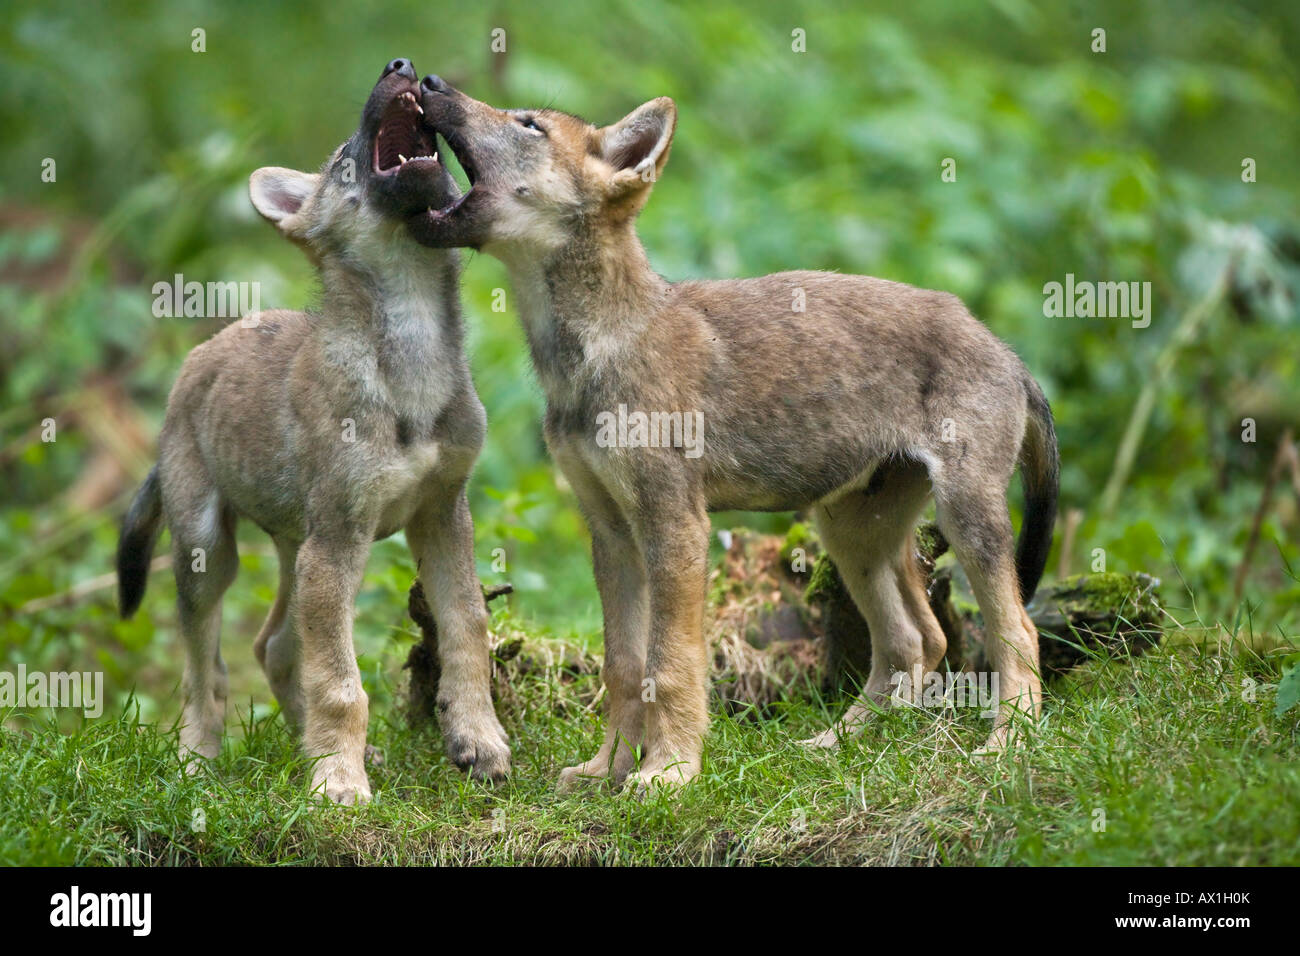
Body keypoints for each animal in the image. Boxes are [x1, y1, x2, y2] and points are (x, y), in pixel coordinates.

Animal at [116, 60, 510, 805]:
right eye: (340, 162)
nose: (400, 65)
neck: (412, 362)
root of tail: (199, 357)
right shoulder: (340, 541)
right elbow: (340, 685)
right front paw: (338, 785)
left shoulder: (442, 515)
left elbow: (467, 631)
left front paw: (478, 742)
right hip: (212, 551)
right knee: (206, 669)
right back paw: (198, 762)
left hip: (298, 552)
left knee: (272, 648)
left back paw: (322, 749)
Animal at [406, 76, 1058, 794]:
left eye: (528, 124)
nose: (430, 82)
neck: (589, 352)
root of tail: (1010, 355)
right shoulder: (611, 533)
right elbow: (623, 669)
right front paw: (607, 771)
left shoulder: (676, 526)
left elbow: (670, 667)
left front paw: (667, 774)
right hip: (852, 533)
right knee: (917, 640)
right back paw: (838, 743)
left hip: (965, 519)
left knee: (1017, 634)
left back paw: (1007, 746)